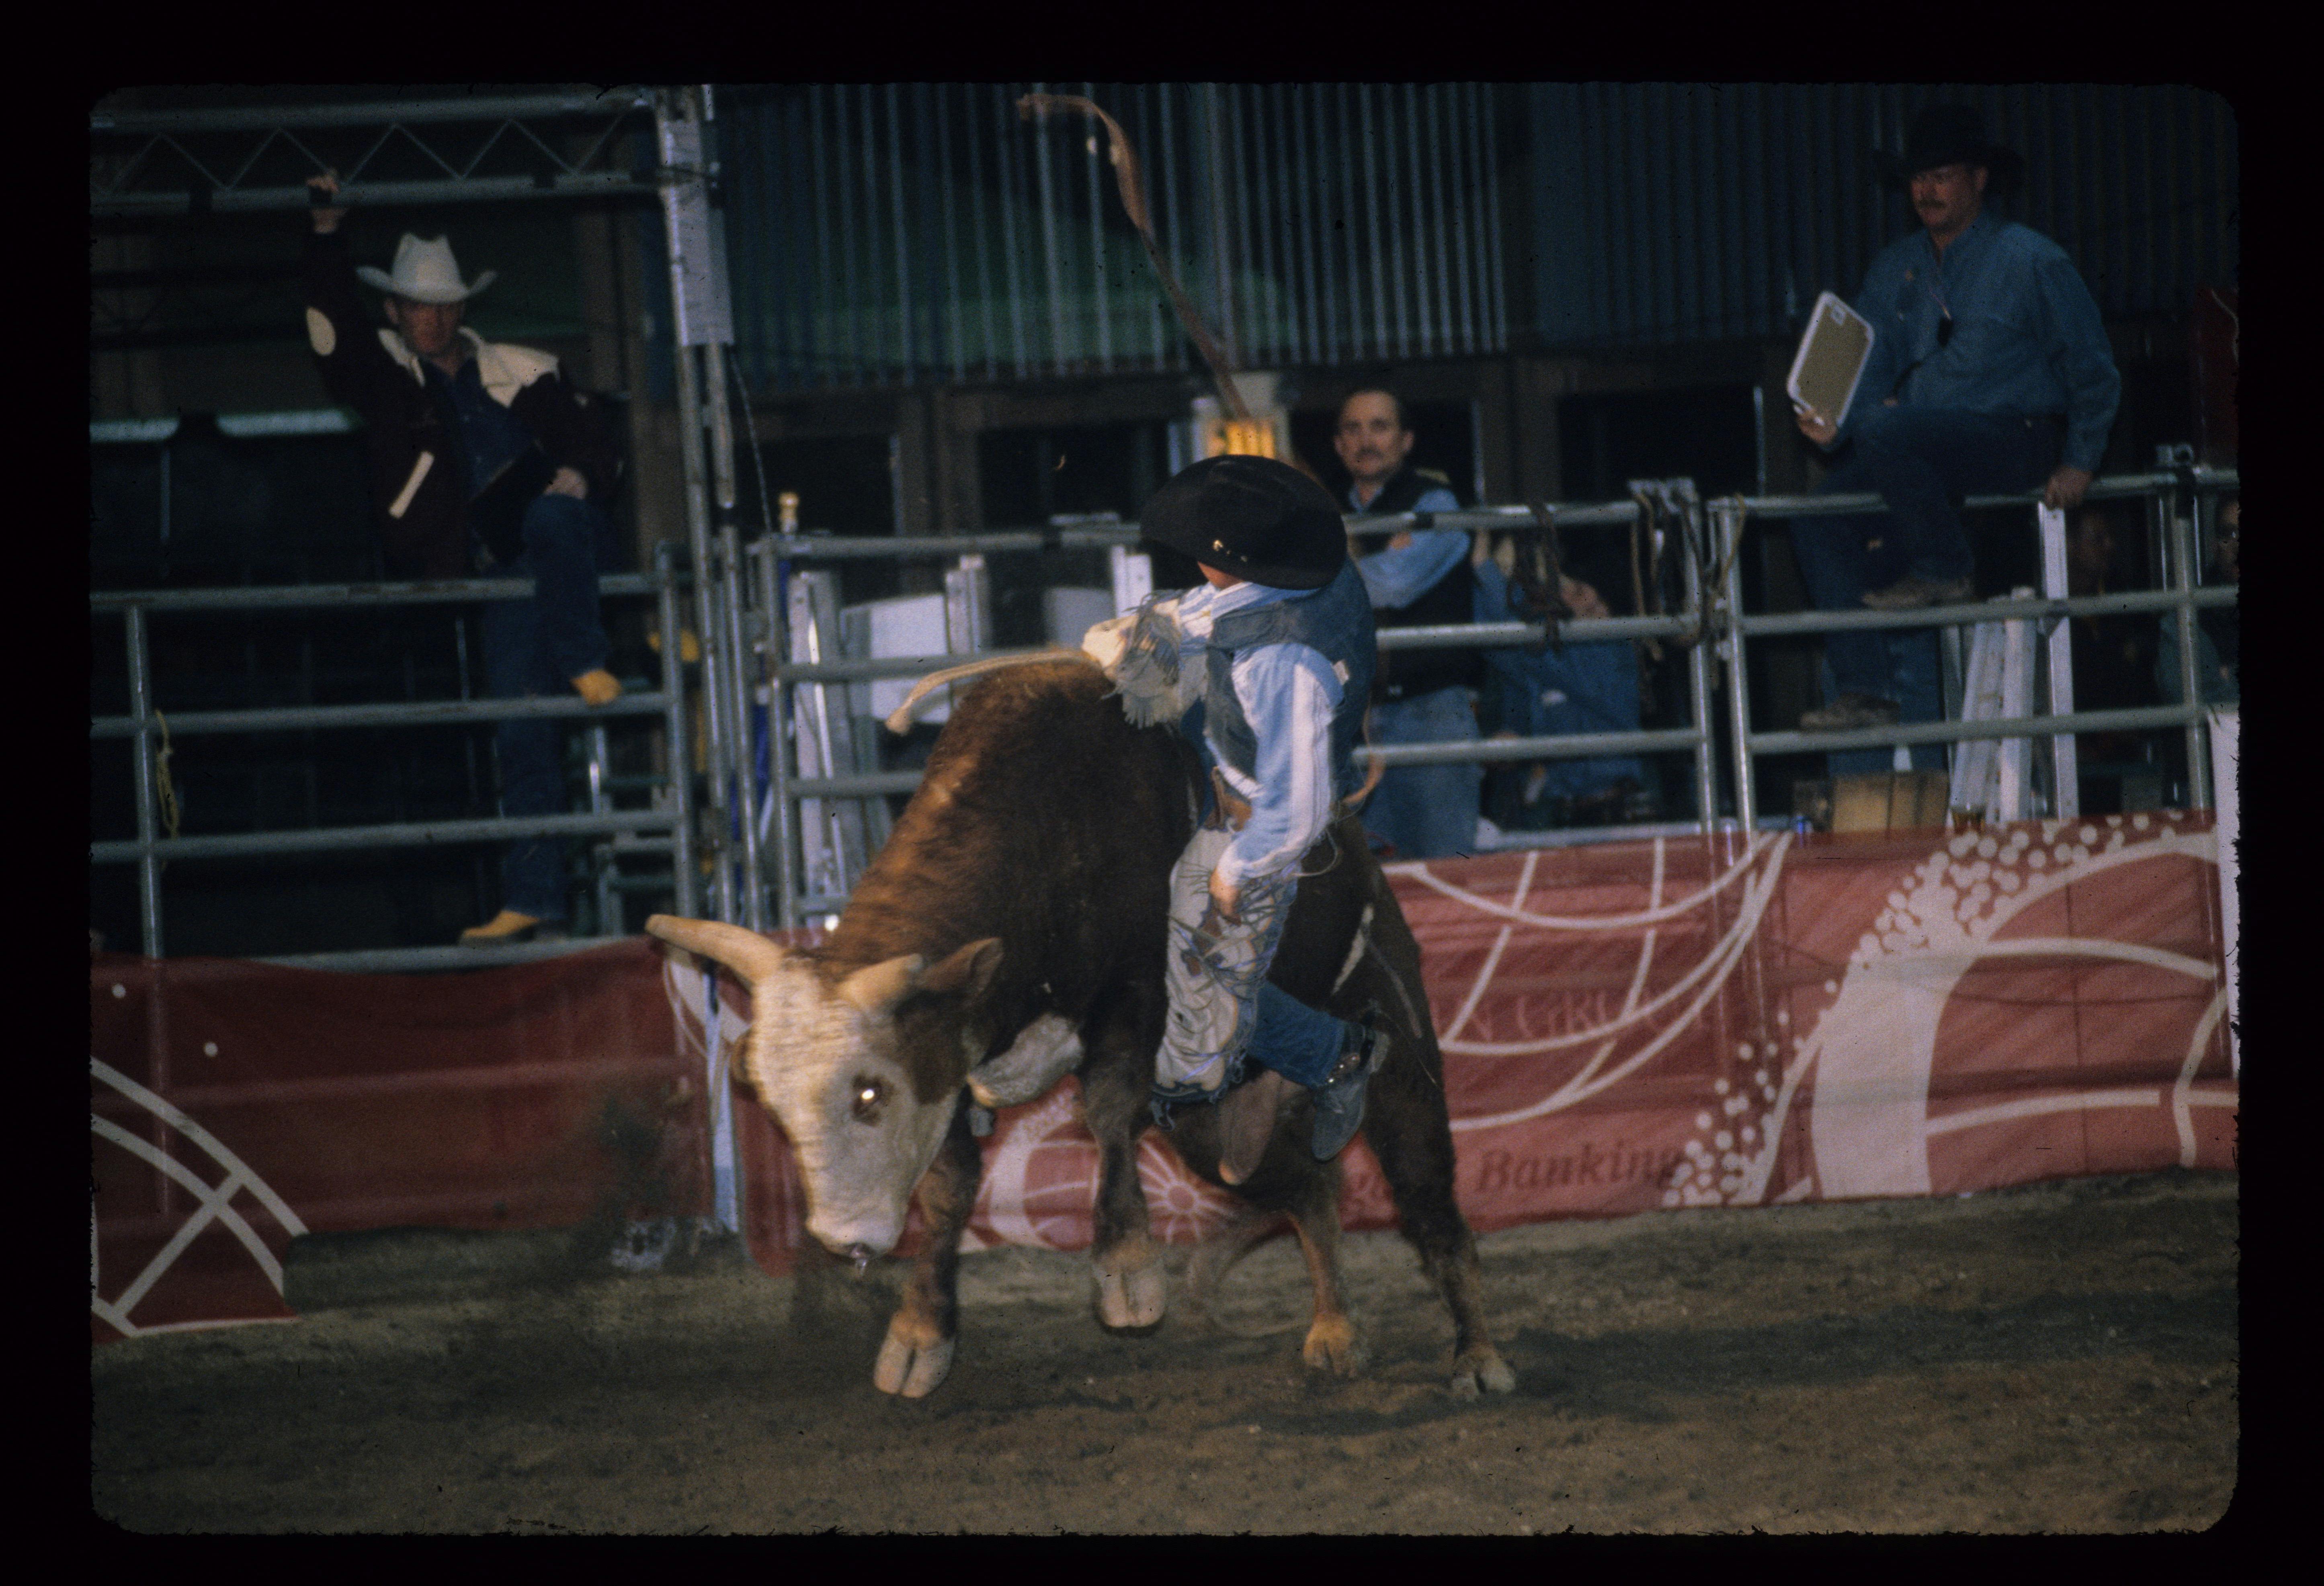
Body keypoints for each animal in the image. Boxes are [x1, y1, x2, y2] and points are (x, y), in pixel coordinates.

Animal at [650, 656, 1524, 1395]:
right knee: (1307, 1188)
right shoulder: (956, 1047)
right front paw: (920, 1332)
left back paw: (1477, 1354)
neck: (1045, 827)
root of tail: (1362, 852)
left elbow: (1106, 1110)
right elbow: (948, 1184)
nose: (840, 1235)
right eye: (770, 1098)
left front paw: (1126, 1269)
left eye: (870, 1092)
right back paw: (1336, 1330)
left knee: (1430, 1202)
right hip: (1213, 1131)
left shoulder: (1137, 1000)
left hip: (1396, 1049)